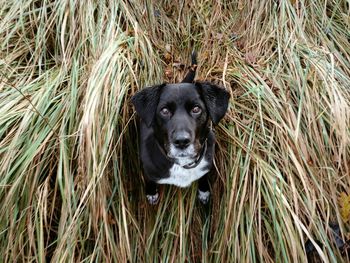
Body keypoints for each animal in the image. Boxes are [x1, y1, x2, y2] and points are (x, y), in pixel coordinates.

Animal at [131, 51, 230, 204]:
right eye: (164, 111)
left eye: (196, 109)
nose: (182, 141)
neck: (182, 165)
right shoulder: (148, 171)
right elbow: (150, 181)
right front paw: (151, 193)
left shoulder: (207, 166)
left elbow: (203, 178)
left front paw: (204, 192)